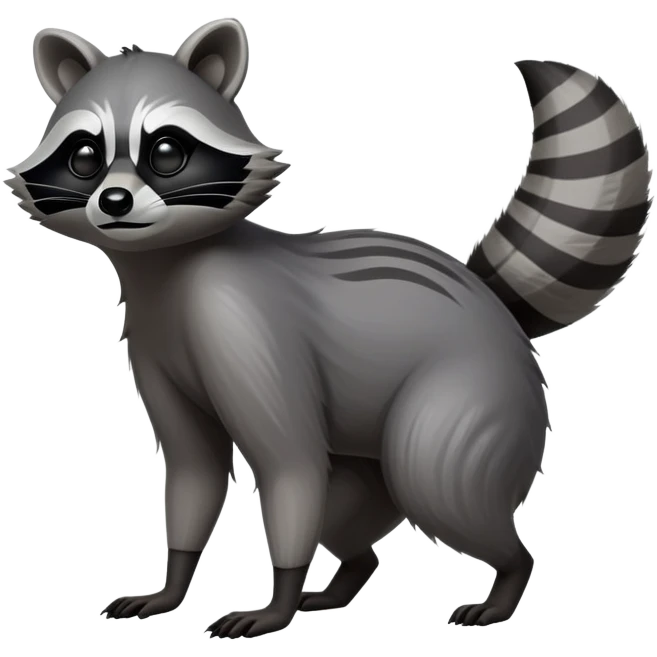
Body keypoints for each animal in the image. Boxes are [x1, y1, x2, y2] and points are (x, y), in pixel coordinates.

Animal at [5, 20, 653, 639]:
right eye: (84, 157)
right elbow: (194, 468)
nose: (113, 201)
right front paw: (174, 582)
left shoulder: (245, 322)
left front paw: (277, 600)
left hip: (468, 393)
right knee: (346, 515)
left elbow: (288, 462)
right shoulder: (152, 341)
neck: (162, 265)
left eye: (165, 151)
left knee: (438, 482)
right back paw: (346, 578)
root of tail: (491, 304)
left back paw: (509, 575)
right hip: (371, 454)